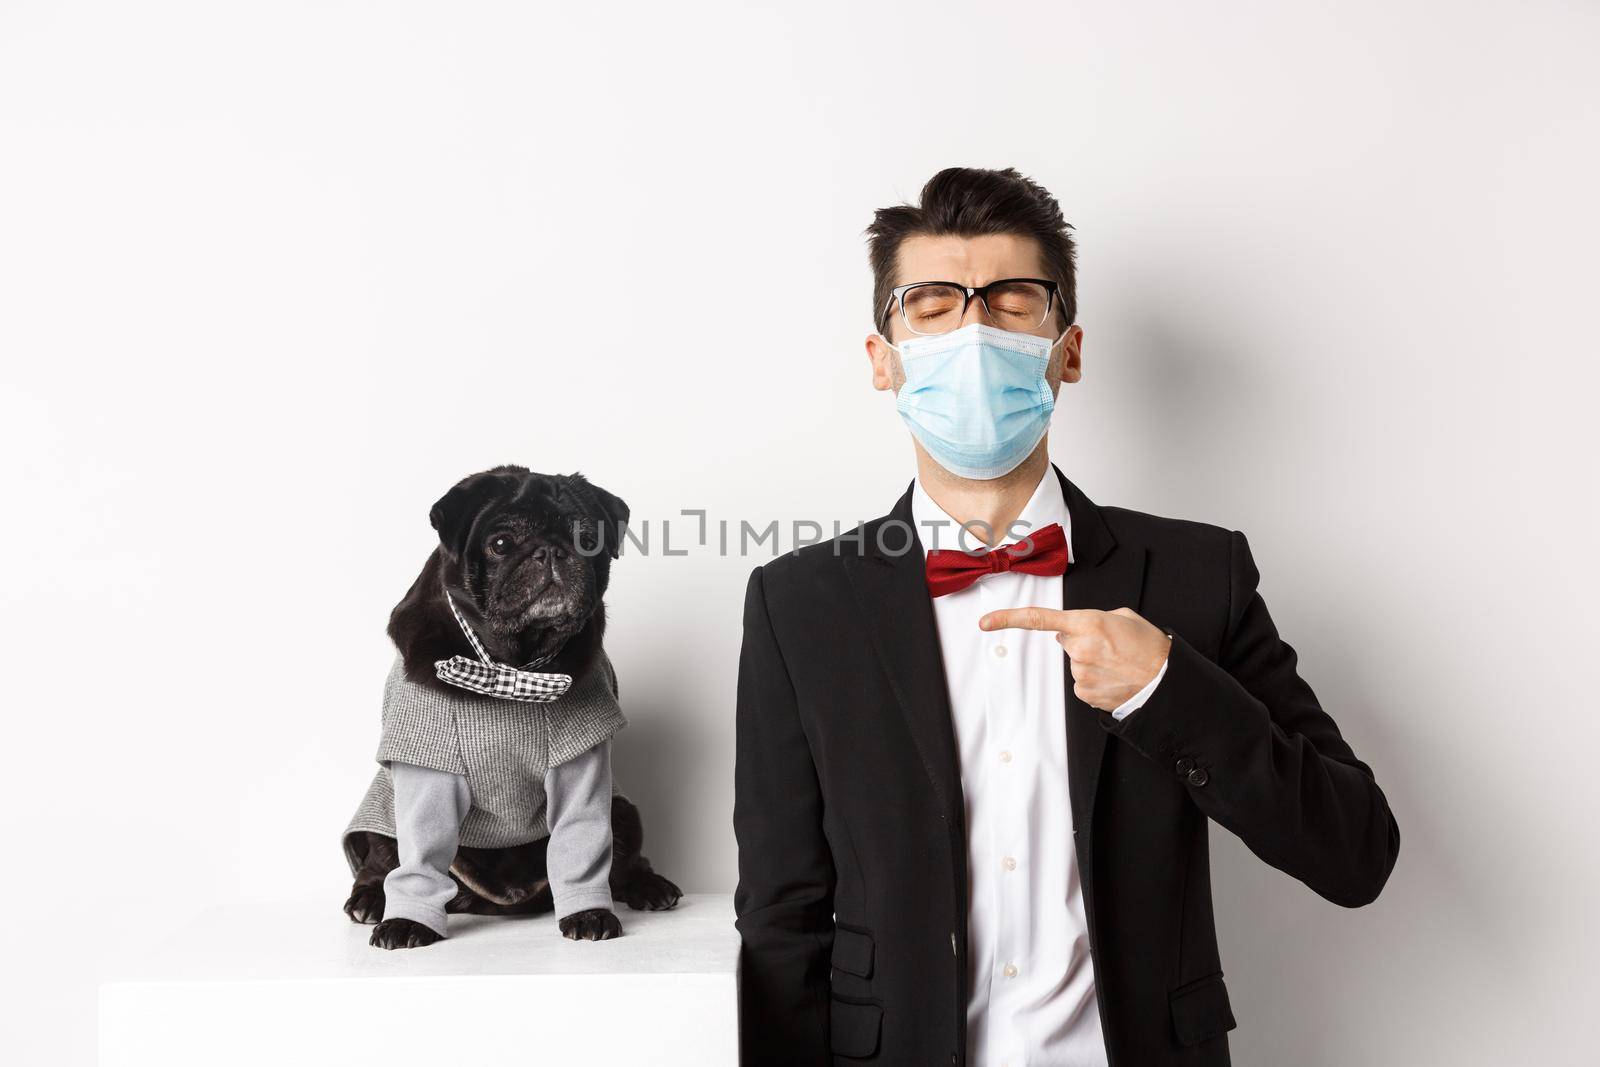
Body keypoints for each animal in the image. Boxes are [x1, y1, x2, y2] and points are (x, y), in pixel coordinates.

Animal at [344, 463, 681, 947]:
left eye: (586, 539)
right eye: (500, 544)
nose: (550, 551)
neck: (513, 666)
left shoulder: (582, 771)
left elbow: (584, 848)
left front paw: (589, 912)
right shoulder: (428, 772)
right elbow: (419, 858)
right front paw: (408, 921)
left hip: (623, 809)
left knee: (625, 860)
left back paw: (648, 885)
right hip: (383, 811)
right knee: (380, 859)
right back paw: (372, 899)